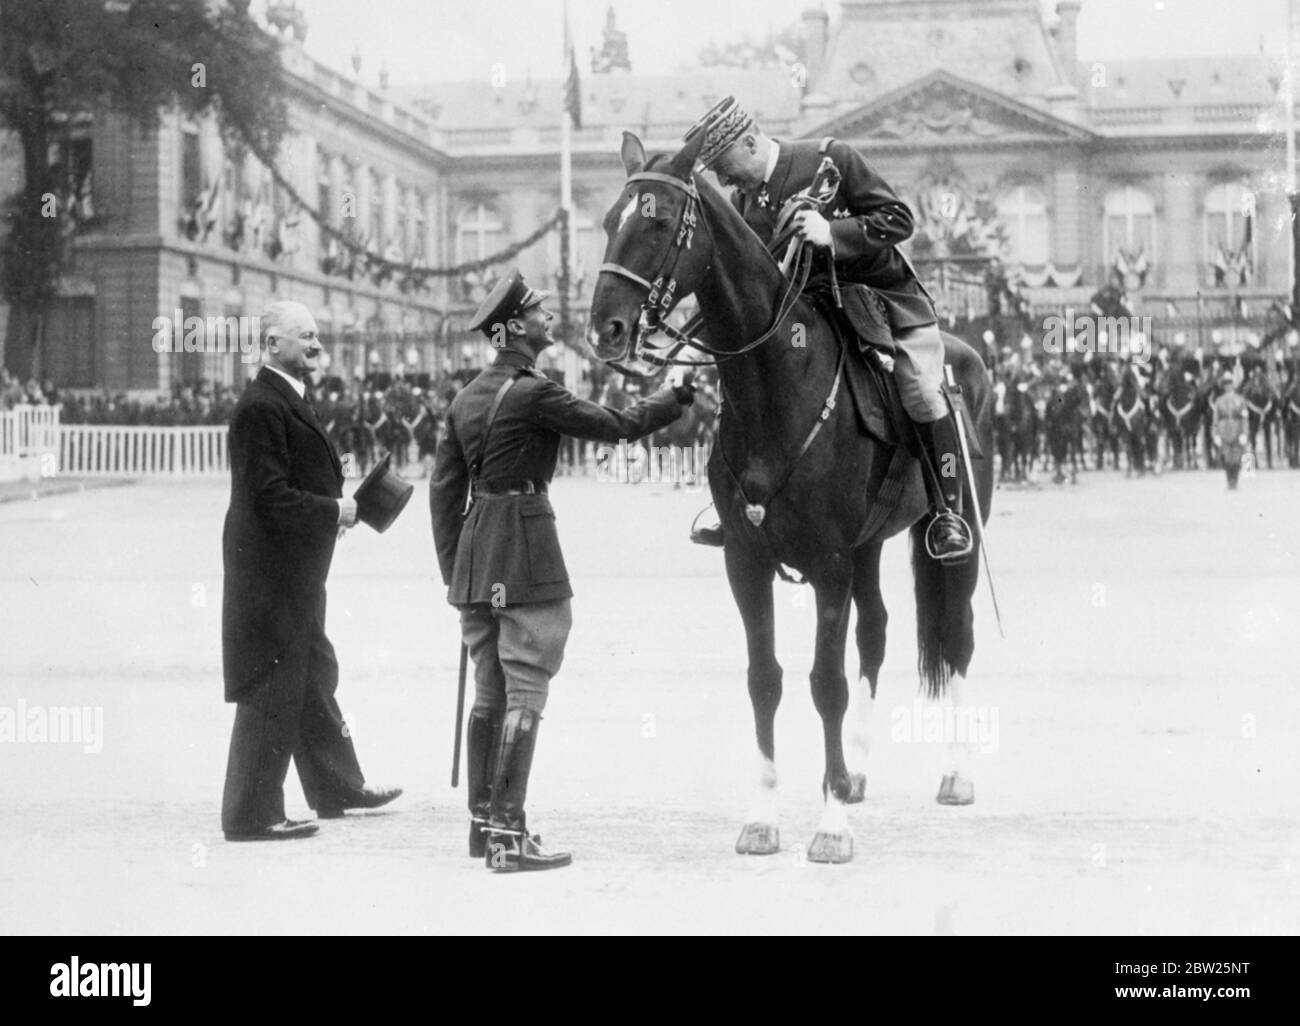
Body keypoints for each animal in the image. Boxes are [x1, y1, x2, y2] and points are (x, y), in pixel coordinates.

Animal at [590, 130, 993, 863]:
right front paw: (766, 816)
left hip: (960, 540)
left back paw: (954, 772)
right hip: (868, 547)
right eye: (609, 220)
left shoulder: (829, 563)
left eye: (657, 221)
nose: (605, 328)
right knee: (877, 633)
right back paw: (857, 771)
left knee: (957, 637)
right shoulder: (747, 561)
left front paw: (830, 826)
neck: (775, 382)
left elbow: (825, 683)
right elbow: (766, 679)